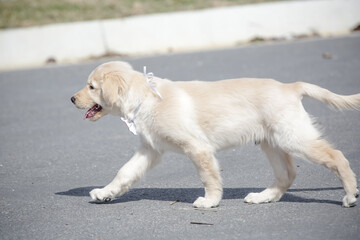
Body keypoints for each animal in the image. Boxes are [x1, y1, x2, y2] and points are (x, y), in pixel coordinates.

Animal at [71, 61, 360, 207]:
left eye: (91, 87)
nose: (71, 99)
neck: (146, 99)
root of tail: (291, 86)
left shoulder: (197, 148)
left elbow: (208, 177)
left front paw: (210, 201)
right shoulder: (150, 150)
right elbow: (124, 172)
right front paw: (105, 192)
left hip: (293, 138)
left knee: (337, 156)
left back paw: (350, 195)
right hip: (272, 142)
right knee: (287, 174)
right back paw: (263, 197)